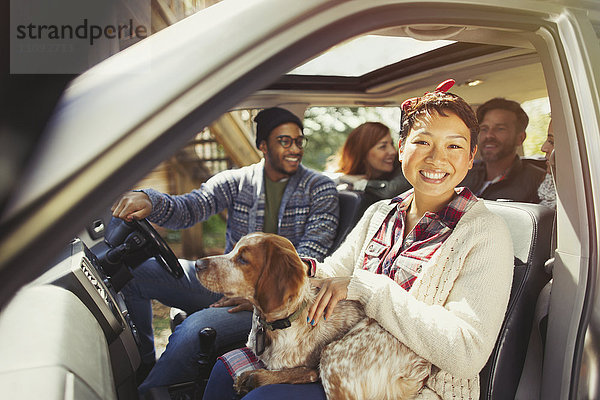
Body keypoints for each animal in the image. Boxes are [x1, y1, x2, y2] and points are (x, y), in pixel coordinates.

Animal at [197, 233, 432, 398]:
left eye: (243, 260)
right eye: (232, 251)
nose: (198, 264)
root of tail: (418, 370)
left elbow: (305, 371)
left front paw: (255, 377)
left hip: (334, 355)